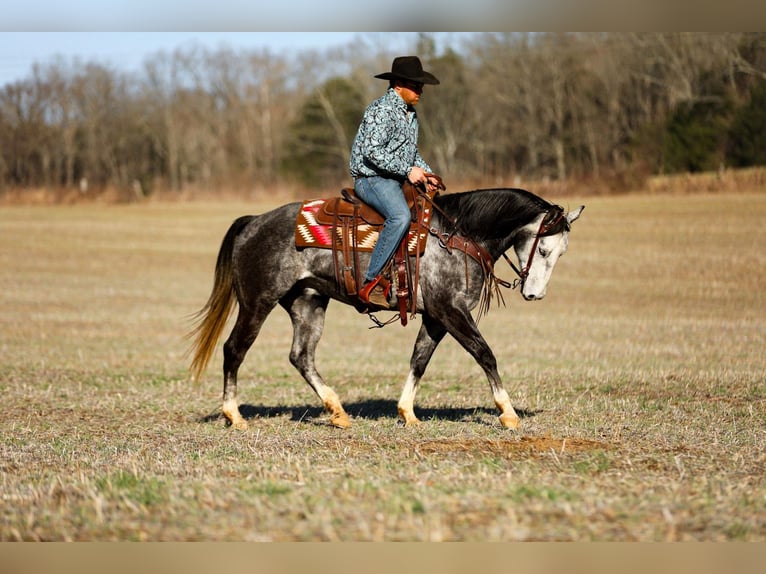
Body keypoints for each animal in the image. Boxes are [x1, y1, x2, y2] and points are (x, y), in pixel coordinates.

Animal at [188, 187, 584, 430]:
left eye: (562, 253)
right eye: (543, 249)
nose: (534, 295)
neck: (458, 237)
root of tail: (253, 222)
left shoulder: (436, 316)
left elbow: (419, 359)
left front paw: (407, 413)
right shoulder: (451, 310)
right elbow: (484, 354)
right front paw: (508, 414)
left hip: (308, 303)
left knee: (301, 356)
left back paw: (337, 411)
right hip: (257, 302)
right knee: (234, 350)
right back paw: (234, 415)